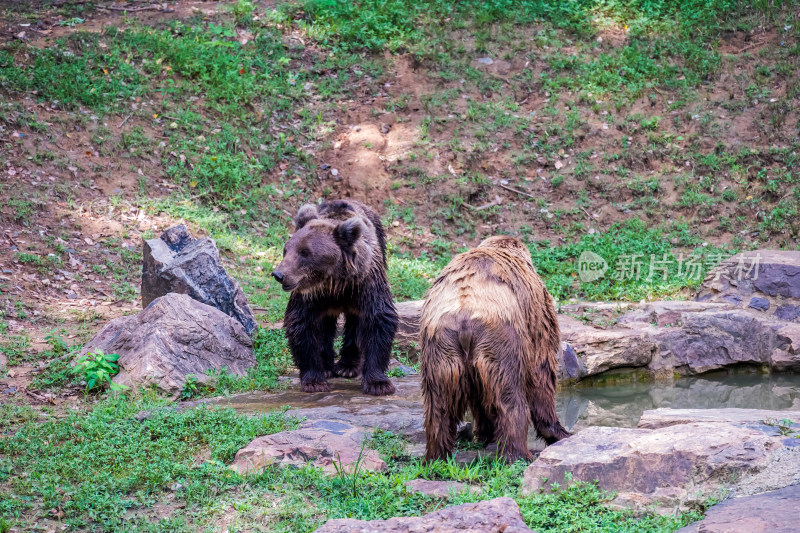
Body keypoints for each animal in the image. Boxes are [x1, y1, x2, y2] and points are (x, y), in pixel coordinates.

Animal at [274, 201, 398, 394]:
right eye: (286, 250)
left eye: (305, 252)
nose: (279, 274)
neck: (335, 282)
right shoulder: (310, 294)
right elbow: (302, 323)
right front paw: (315, 380)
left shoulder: (365, 283)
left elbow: (379, 318)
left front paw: (379, 383)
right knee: (324, 324)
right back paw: (327, 366)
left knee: (355, 322)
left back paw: (347, 366)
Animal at [418, 234, 568, 462]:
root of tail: (464, 316)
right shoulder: (536, 314)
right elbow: (541, 371)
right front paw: (557, 431)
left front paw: (484, 433)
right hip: (502, 340)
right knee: (510, 397)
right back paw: (518, 454)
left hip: (440, 348)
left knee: (439, 405)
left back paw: (437, 456)